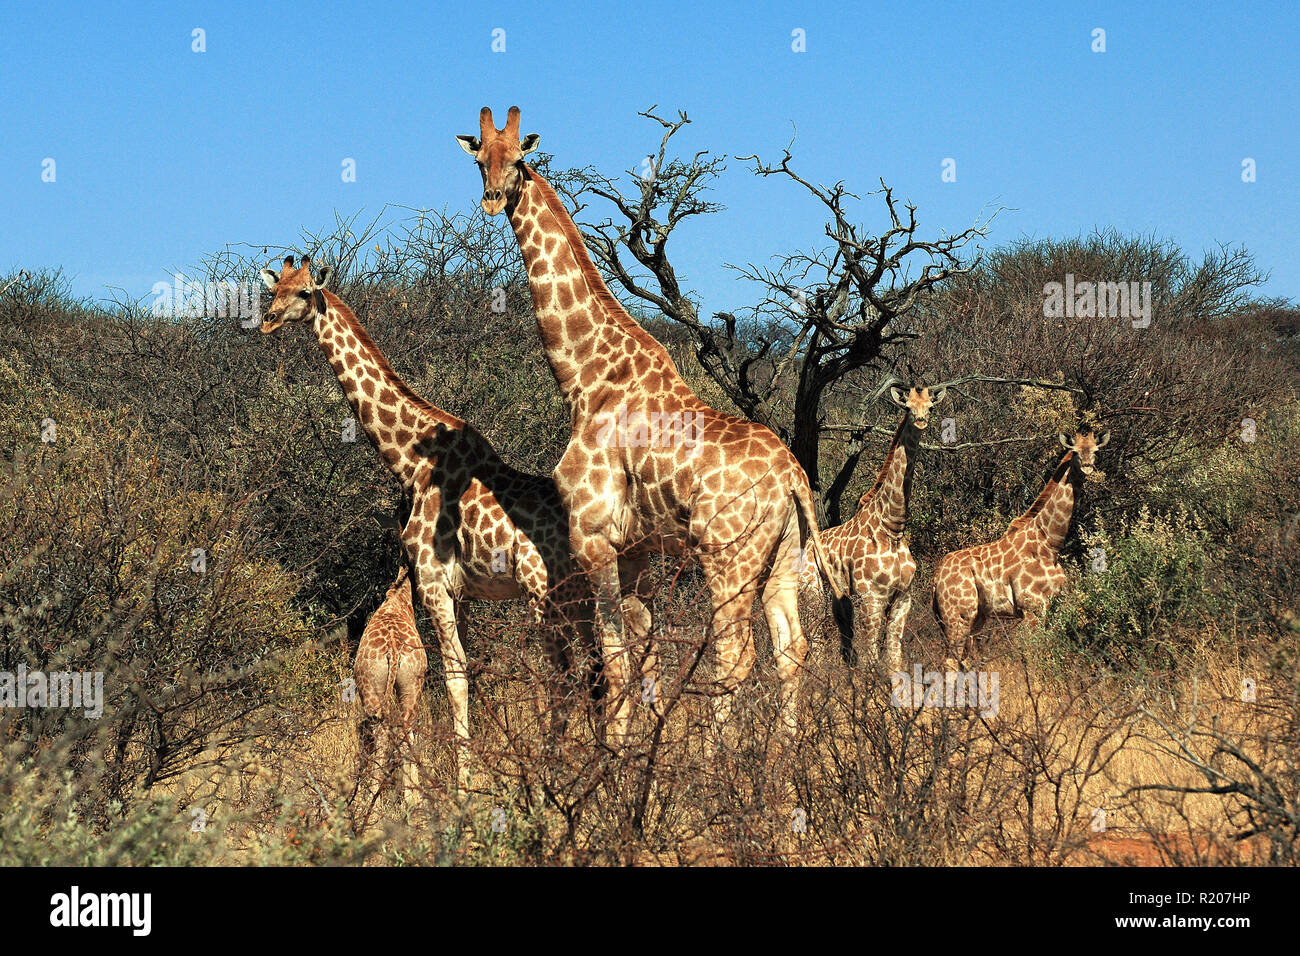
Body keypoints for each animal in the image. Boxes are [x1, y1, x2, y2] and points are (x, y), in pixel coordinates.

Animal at [356, 564, 426, 811]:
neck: (399, 596)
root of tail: (394, 650)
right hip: (410, 685)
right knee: (404, 733)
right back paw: (411, 800)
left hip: (373, 690)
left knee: (383, 735)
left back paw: (373, 803)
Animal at [457, 106, 852, 738]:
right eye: (478, 159)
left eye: (518, 159)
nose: (493, 200)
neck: (586, 378)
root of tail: (794, 478)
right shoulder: (636, 551)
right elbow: (642, 656)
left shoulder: (593, 537)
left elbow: (615, 660)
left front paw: (618, 759)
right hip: (783, 557)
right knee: (791, 651)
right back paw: (786, 756)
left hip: (728, 556)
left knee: (735, 655)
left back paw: (722, 759)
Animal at [930, 429, 1112, 660]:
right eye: (1076, 452)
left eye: (1096, 451)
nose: (1088, 466)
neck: (1050, 543)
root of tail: (936, 578)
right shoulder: (1032, 607)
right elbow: (1032, 654)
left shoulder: (1053, 605)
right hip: (958, 616)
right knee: (951, 661)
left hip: (975, 618)